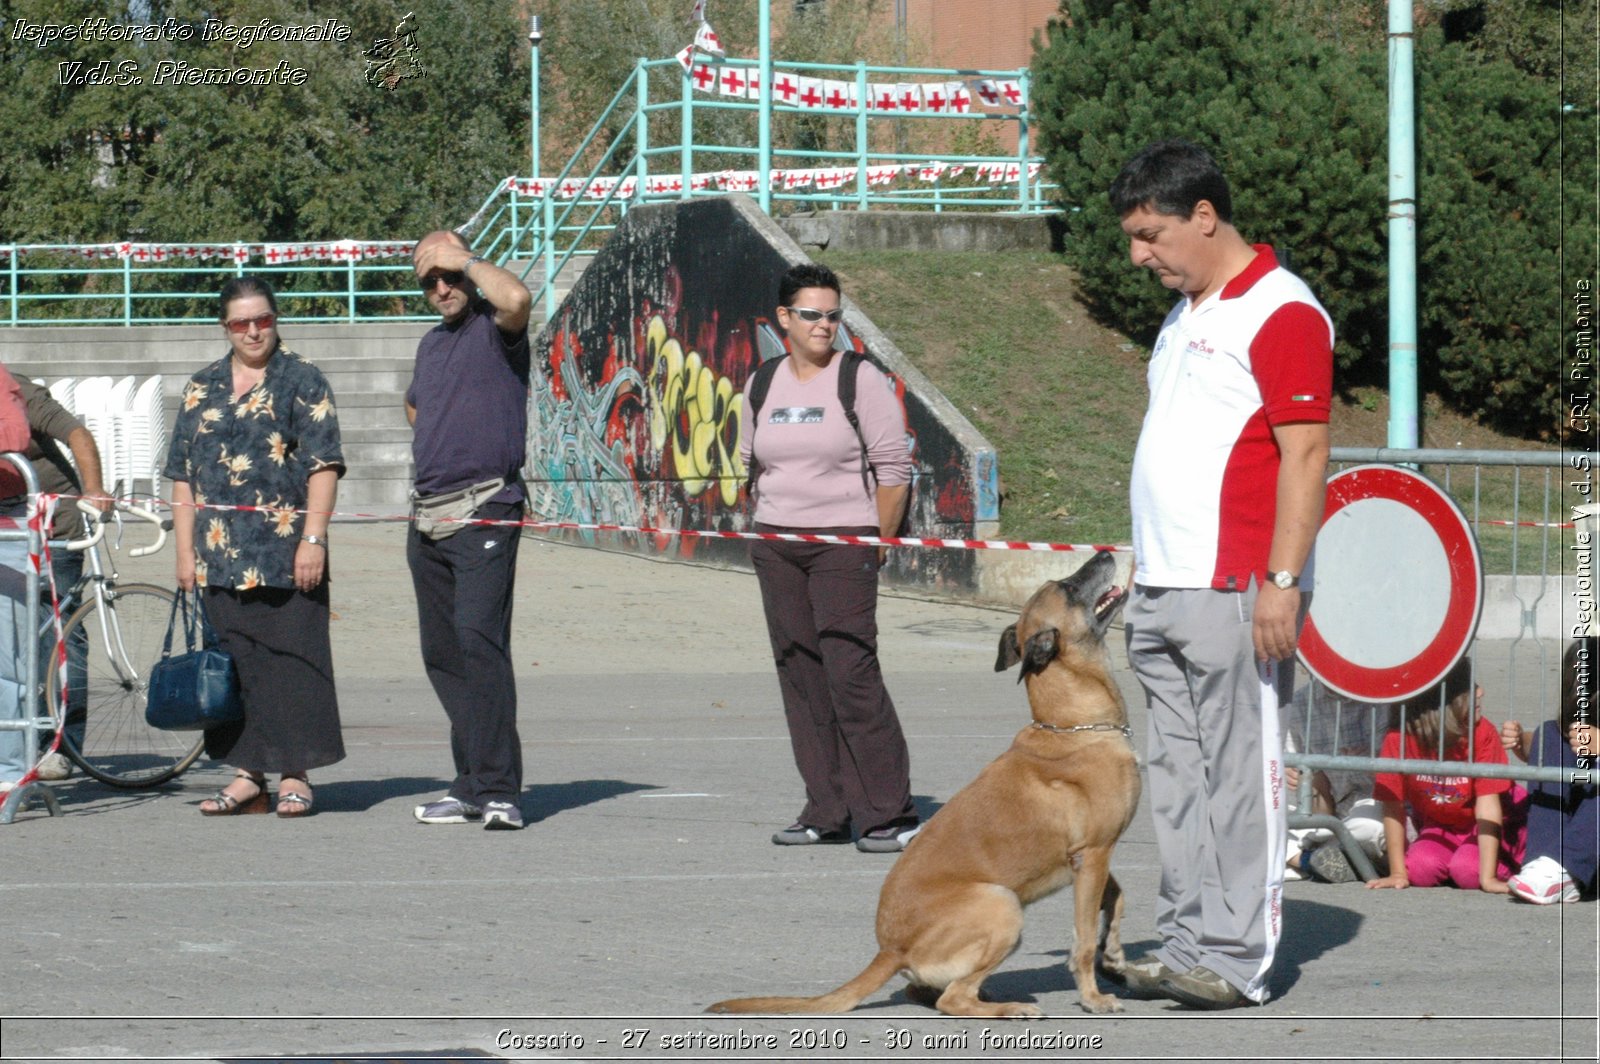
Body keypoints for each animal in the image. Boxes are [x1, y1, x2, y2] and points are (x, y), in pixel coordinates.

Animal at [710, 550, 1139, 1017]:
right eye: (1068, 587)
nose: (1106, 553)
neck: (1072, 726)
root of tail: (890, 949)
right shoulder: (1092, 856)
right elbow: (1083, 940)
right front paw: (1094, 996)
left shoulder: (1096, 859)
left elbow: (1116, 899)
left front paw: (1115, 954)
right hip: (1002, 902)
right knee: (953, 1000)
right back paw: (1009, 1008)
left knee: (931, 994)